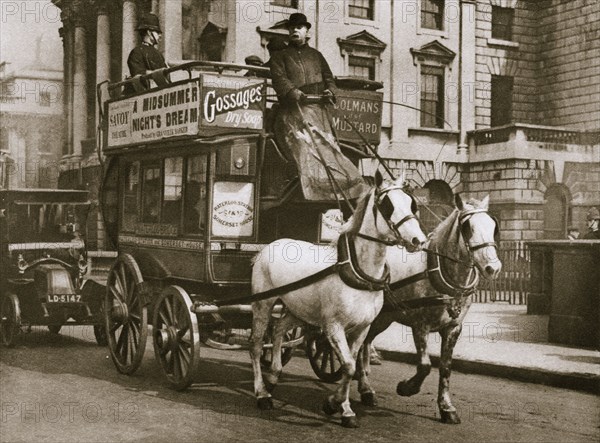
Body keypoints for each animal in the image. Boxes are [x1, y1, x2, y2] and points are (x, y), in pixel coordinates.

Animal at [248, 172, 426, 428]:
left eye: (412, 203)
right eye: (387, 205)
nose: (418, 240)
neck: (359, 271)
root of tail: (267, 246)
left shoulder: (362, 328)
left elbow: (348, 365)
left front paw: (343, 408)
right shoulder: (333, 326)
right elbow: (350, 366)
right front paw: (335, 404)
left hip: (298, 309)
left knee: (280, 328)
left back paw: (273, 375)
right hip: (263, 304)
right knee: (255, 344)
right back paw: (262, 393)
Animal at [356, 194, 502, 424]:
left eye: (494, 226)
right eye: (468, 227)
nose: (493, 268)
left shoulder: (453, 328)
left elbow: (445, 367)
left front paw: (446, 407)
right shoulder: (420, 325)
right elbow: (425, 365)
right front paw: (407, 388)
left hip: (384, 317)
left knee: (366, 342)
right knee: (360, 343)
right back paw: (365, 389)